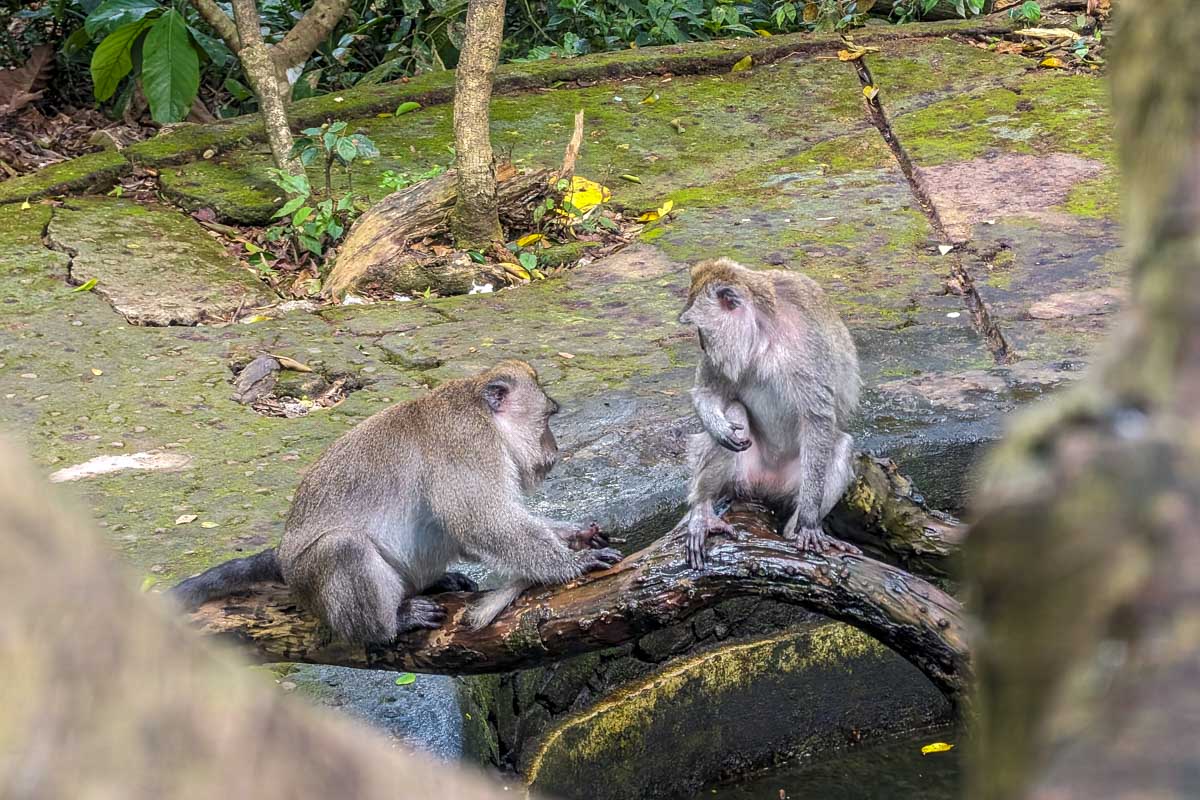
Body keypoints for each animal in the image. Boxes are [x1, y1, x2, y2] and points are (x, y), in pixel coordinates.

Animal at [170, 360, 621, 642]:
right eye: (548, 418)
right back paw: (389, 625)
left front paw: (576, 535)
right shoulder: (468, 445)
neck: (478, 410)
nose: (554, 449)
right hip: (311, 581)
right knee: (344, 547)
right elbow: (482, 521)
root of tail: (282, 556)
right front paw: (572, 563)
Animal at [677, 257, 861, 569]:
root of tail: (767, 483)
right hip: (743, 477)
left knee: (841, 447)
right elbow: (706, 393)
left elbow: (817, 419)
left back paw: (794, 531)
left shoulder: (805, 350)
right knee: (735, 413)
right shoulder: (723, 358)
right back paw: (703, 512)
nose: (702, 344)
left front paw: (809, 523)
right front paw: (718, 427)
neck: (762, 337)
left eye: (702, 328)